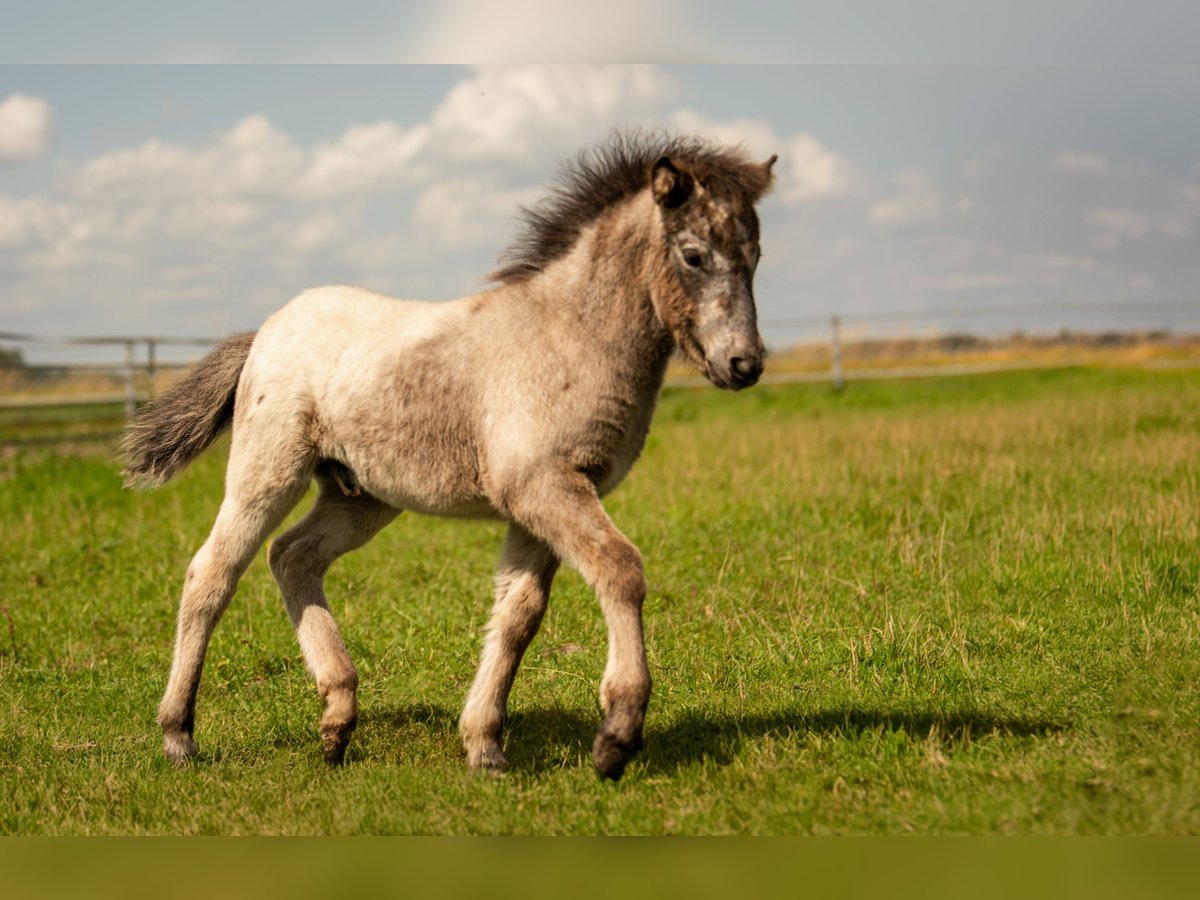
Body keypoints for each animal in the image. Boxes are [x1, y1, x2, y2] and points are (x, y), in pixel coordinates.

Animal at [121, 133, 777, 782]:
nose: (744, 364)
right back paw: (179, 735)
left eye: (755, 255)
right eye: (694, 255)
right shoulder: (545, 487)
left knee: (292, 556)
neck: (567, 337)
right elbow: (620, 569)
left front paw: (484, 745)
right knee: (213, 573)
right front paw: (617, 734)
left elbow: (518, 615)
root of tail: (264, 330)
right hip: (268, 471)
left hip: (361, 496)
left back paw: (337, 718)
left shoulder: (537, 501)